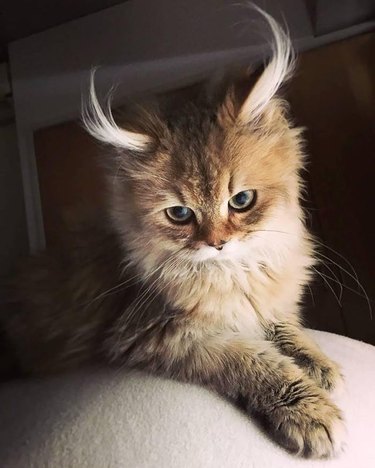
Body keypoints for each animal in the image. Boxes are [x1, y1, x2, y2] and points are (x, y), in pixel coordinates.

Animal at [0, 9, 346, 458]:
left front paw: (318, 363)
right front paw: (309, 411)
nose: (217, 243)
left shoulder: (262, 302)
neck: (233, 274)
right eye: (180, 214)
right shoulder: (161, 336)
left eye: (241, 200)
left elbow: (284, 328)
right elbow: (255, 361)